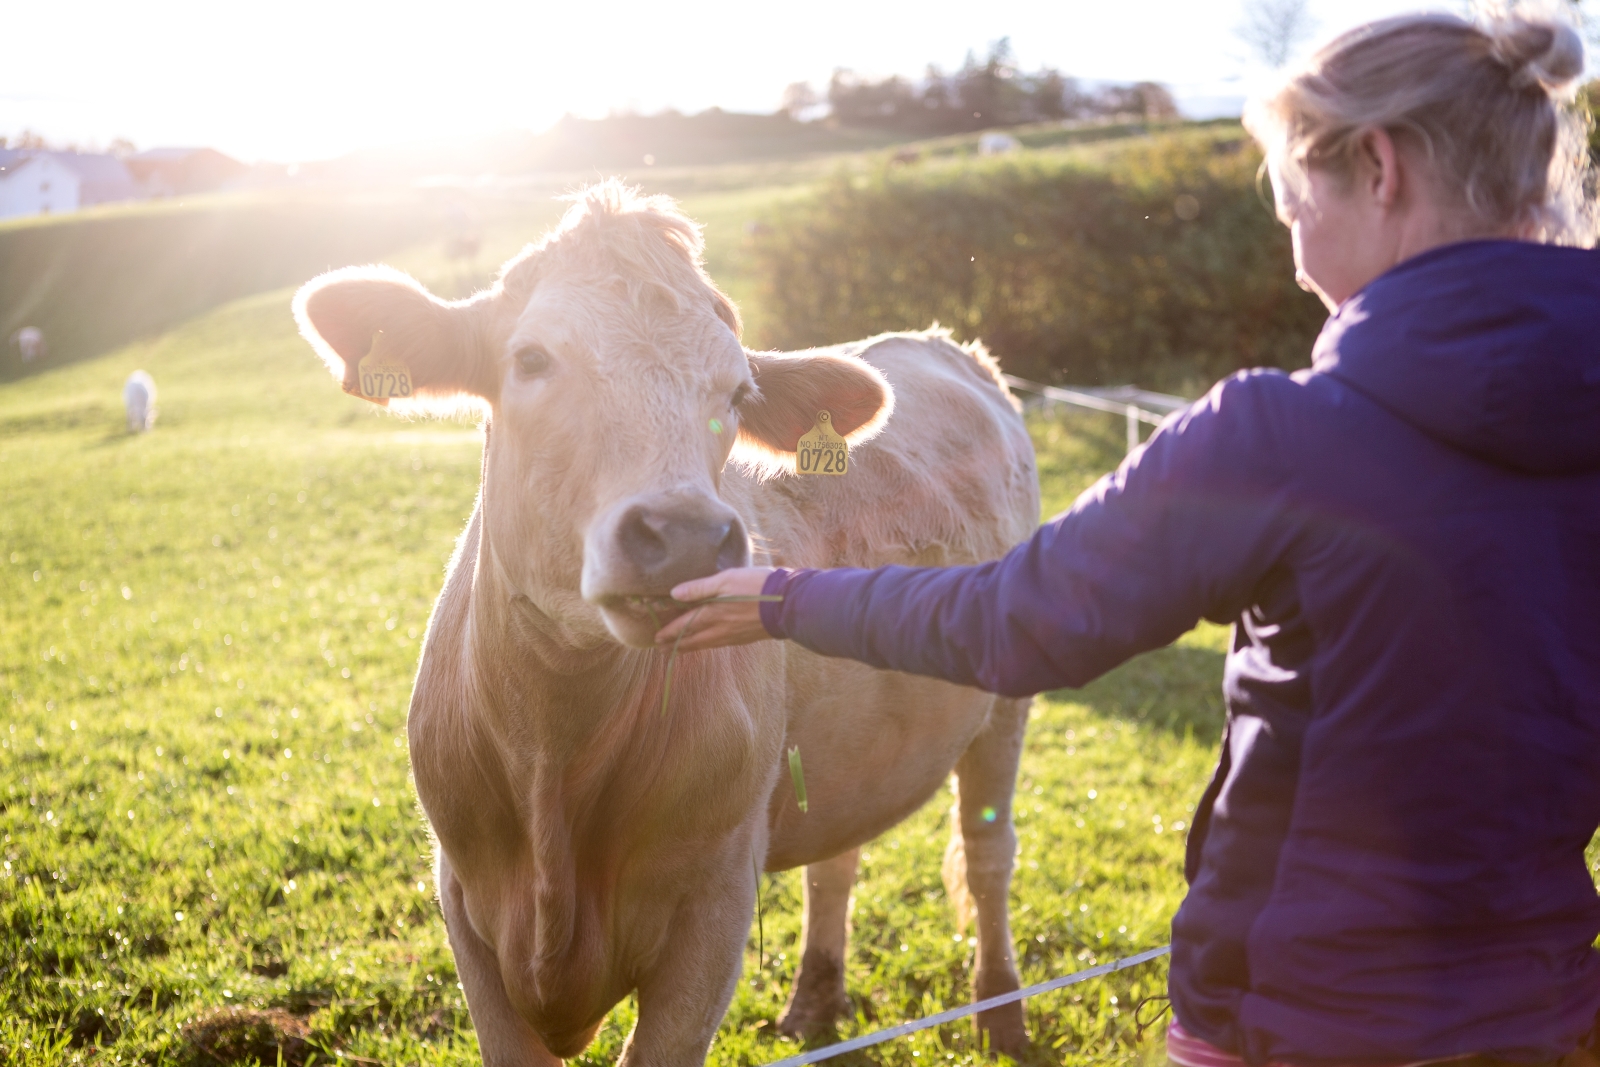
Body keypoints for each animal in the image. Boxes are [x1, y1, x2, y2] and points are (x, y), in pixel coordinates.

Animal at [293, 182, 1041, 1067]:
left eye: (738, 394)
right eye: (531, 359)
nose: (684, 536)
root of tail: (948, 348)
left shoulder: (713, 912)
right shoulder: (464, 905)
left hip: (1007, 692)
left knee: (989, 851)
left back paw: (1002, 1014)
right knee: (837, 858)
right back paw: (814, 1000)